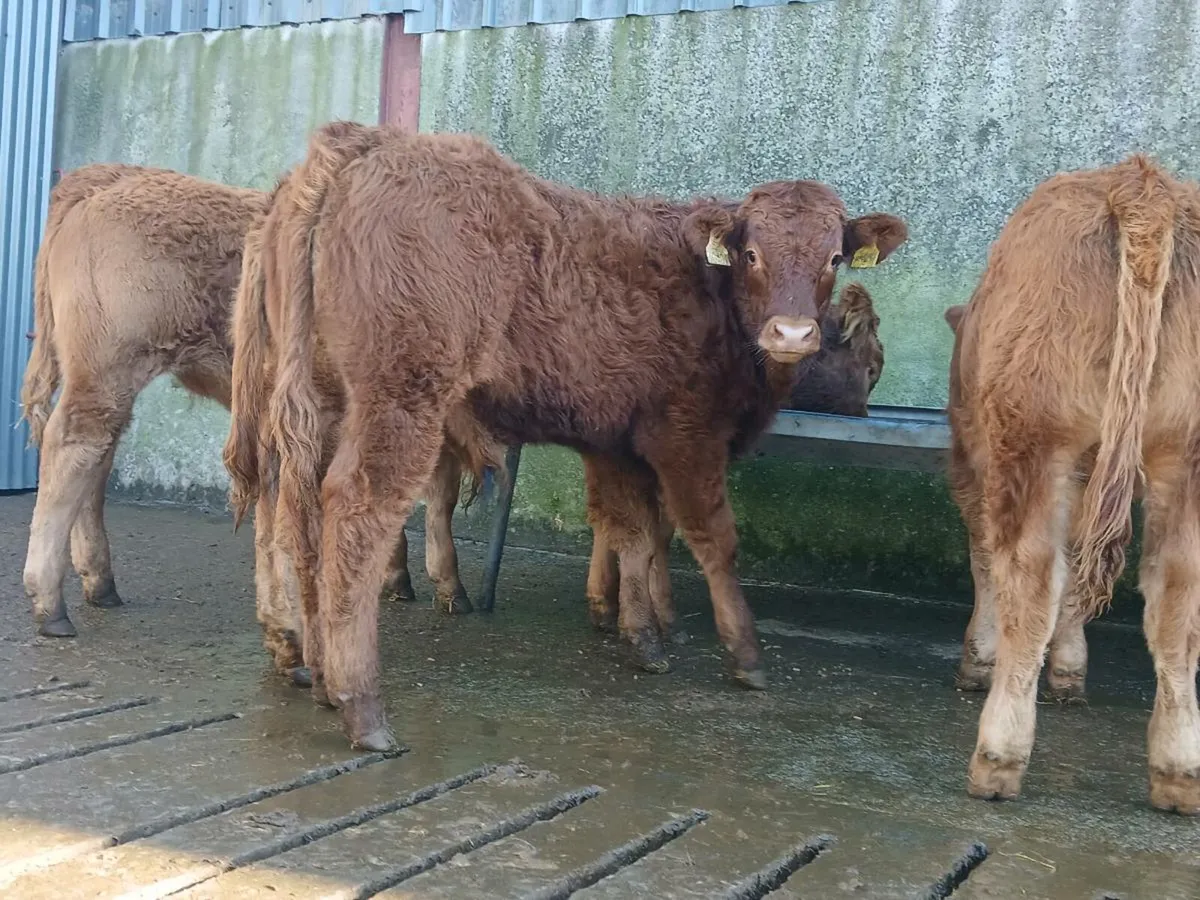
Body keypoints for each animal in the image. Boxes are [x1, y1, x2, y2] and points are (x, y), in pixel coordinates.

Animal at [948, 154, 1200, 815]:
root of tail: (1139, 183)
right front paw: (1069, 669)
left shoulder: (975, 464)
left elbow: (988, 561)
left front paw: (980, 659)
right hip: (1182, 456)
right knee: (1176, 593)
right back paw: (1178, 772)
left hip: (1032, 439)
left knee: (1031, 575)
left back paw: (998, 757)